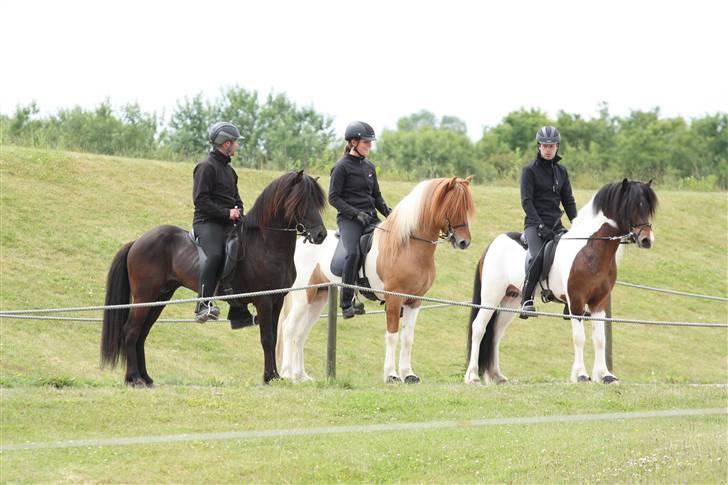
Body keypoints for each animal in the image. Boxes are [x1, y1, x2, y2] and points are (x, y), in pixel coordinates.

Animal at [100, 170, 328, 386]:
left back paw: (145, 378)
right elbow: (268, 338)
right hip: (145, 297)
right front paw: (269, 377)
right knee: (131, 331)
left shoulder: (277, 300)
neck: (266, 245)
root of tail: (137, 242)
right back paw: (134, 378)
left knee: (142, 333)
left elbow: (272, 336)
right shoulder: (263, 300)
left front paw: (274, 376)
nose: (321, 235)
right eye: (302, 200)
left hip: (160, 298)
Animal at [276, 176, 474, 384]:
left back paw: (301, 376)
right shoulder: (394, 299)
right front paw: (392, 375)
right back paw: (287, 374)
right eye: (452, 206)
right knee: (289, 329)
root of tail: (301, 243)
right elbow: (392, 335)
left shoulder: (415, 301)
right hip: (303, 296)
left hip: (318, 298)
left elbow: (407, 338)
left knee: (300, 333)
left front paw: (408, 374)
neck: (408, 245)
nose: (464, 242)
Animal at [466, 180, 660, 384]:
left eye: (647, 208)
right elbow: (579, 337)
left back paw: (497, 376)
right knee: (479, 328)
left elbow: (600, 339)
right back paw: (473, 376)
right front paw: (581, 374)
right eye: (632, 206)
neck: (590, 249)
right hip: (490, 298)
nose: (646, 240)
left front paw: (605, 375)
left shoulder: (599, 301)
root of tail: (492, 245)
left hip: (510, 300)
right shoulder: (576, 301)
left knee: (496, 332)